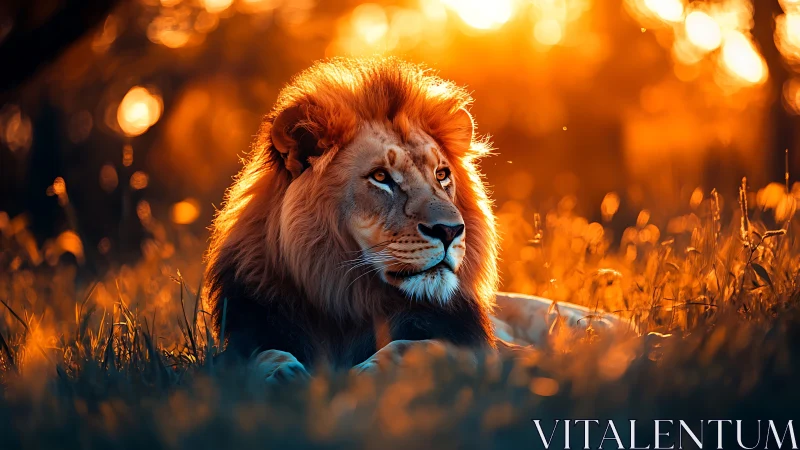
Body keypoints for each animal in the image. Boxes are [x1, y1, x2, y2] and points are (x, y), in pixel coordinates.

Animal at [203, 57, 500, 380]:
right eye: (380, 177)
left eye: (442, 174)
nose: (450, 230)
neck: (346, 297)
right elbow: (251, 356)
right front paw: (282, 373)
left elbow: (418, 347)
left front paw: (368, 371)